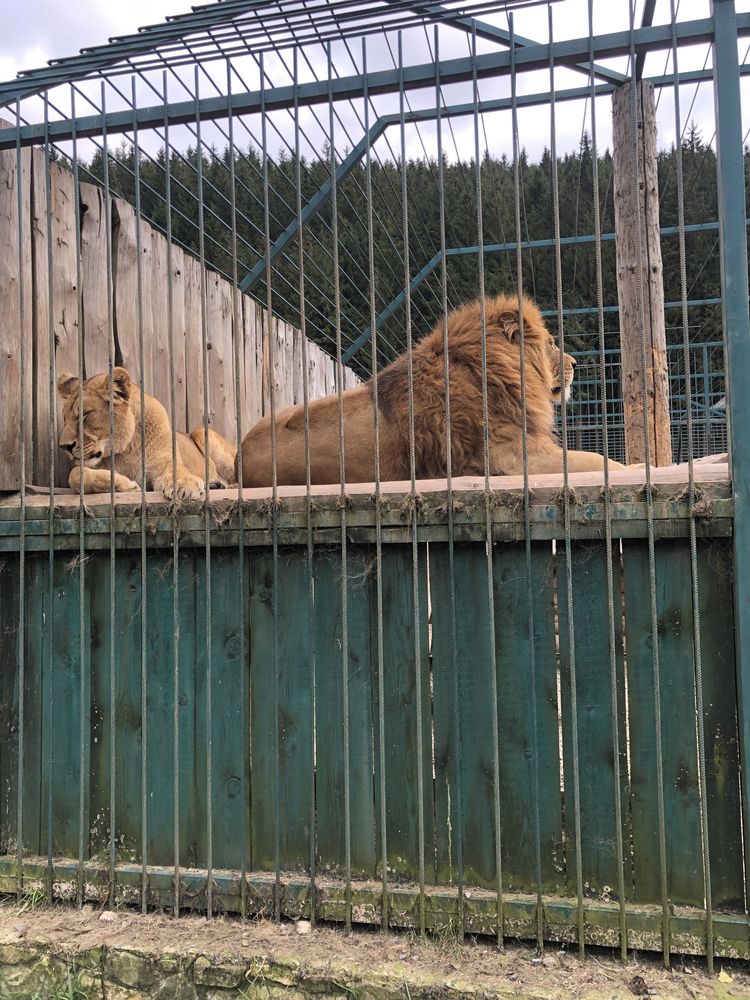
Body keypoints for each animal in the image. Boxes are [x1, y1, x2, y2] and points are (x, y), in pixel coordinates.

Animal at [58, 368, 238, 500]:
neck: (126, 449)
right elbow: (75, 475)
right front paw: (126, 485)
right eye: (65, 418)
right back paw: (215, 484)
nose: (64, 446)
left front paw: (185, 485)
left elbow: (177, 471)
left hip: (202, 433)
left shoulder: (163, 464)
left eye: (85, 415)